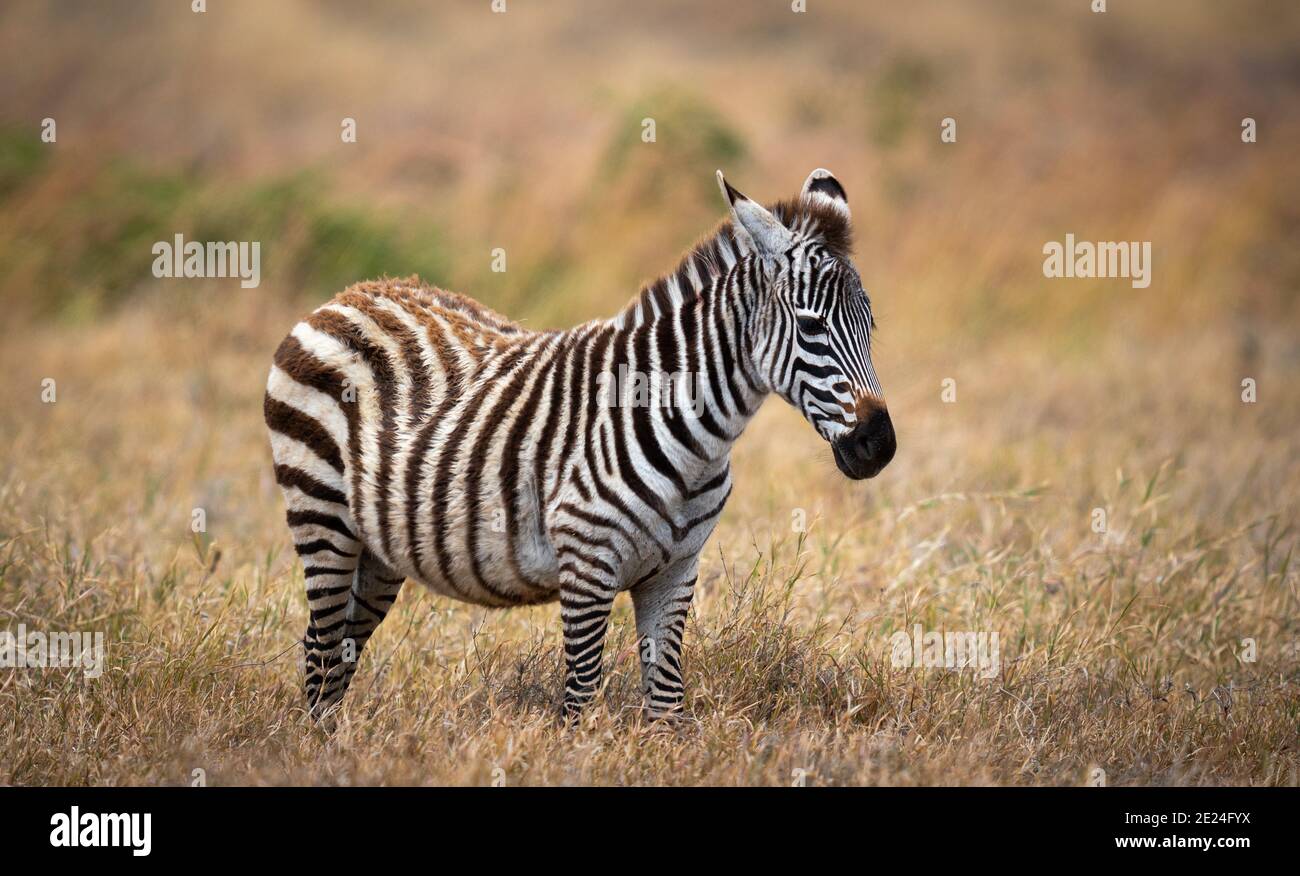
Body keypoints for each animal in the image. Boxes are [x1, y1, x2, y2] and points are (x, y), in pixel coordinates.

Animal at [263, 167, 896, 721]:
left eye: (871, 325)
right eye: (811, 326)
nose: (879, 446)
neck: (694, 439)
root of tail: (351, 293)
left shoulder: (677, 572)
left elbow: (666, 705)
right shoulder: (587, 565)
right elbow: (580, 701)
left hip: (379, 548)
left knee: (338, 648)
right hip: (321, 516)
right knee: (321, 647)